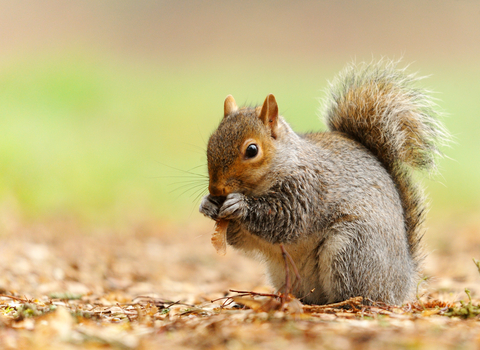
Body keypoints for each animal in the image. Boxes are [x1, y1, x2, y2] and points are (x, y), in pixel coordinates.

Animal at [197, 60, 448, 306]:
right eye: (210, 143)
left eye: (252, 150)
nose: (216, 190)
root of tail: (403, 282)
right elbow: (239, 239)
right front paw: (207, 204)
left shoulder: (308, 190)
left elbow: (285, 220)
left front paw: (240, 205)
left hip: (352, 249)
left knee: (361, 293)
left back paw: (345, 303)